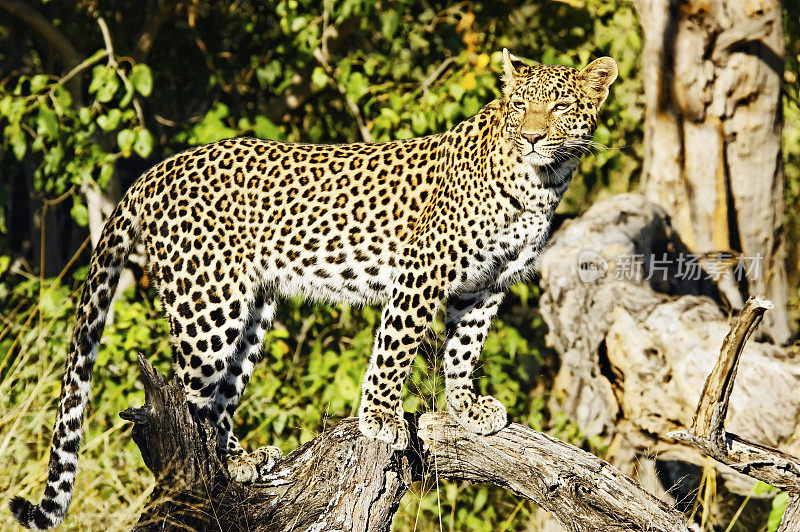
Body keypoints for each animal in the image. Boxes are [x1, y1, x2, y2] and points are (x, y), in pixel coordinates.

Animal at [12, 48, 620, 528]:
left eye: (560, 107)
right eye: (520, 106)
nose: (533, 136)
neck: (542, 184)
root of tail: (157, 169)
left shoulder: (485, 286)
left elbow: (464, 350)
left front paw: (467, 408)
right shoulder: (422, 269)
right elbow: (395, 347)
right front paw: (380, 418)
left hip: (252, 309)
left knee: (222, 394)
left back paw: (242, 461)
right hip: (209, 304)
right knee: (192, 399)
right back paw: (212, 471)